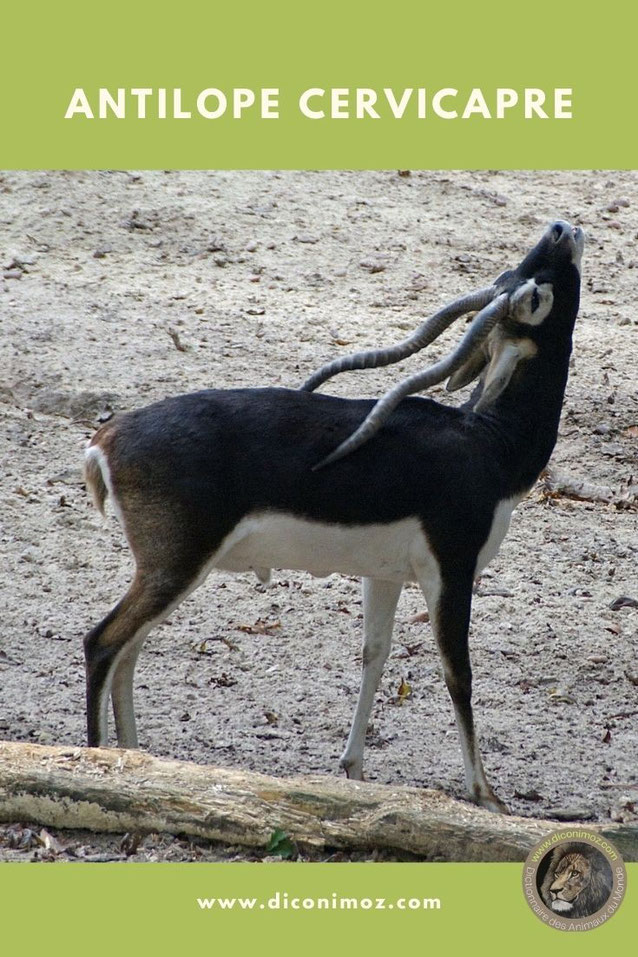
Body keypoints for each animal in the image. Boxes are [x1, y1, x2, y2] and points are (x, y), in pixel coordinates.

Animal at [84, 220, 584, 812]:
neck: (489, 443)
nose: (560, 229)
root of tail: (107, 439)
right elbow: (456, 671)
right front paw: (485, 794)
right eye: (533, 295)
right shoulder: (453, 569)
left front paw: (353, 769)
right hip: (176, 566)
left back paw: (140, 761)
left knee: (129, 650)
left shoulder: (385, 575)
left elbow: (374, 654)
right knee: (104, 643)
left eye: (516, 278)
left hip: (166, 571)